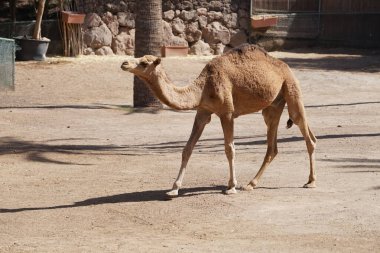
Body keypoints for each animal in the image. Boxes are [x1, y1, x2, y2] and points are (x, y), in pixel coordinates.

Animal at [121, 44, 318, 198]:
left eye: (144, 62)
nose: (124, 63)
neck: (203, 87)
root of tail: (286, 67)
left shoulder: (227, 113)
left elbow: (229, 149)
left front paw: (231, 186)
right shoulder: (202, 112)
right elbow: (187, 149)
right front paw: (174, 188)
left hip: (291, 89)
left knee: (308, 135)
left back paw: (311, 181)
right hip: (272, 107)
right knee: (273, 146)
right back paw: (251, 184)